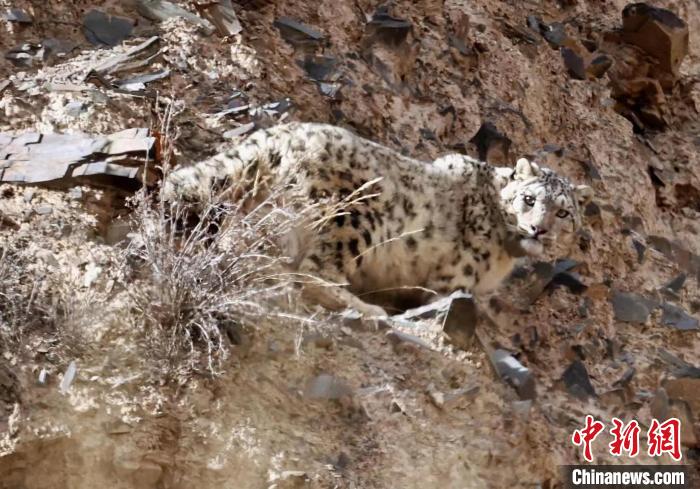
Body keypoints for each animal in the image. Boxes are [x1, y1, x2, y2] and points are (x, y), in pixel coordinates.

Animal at [161, 122, 592, 316]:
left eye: (563, 212)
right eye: (528, 199)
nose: (539, 228)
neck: (505, 255)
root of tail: (282, 133)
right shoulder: (452, 281)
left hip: (268, 212)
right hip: (356, 218)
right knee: (313, 271)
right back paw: (367, 308)